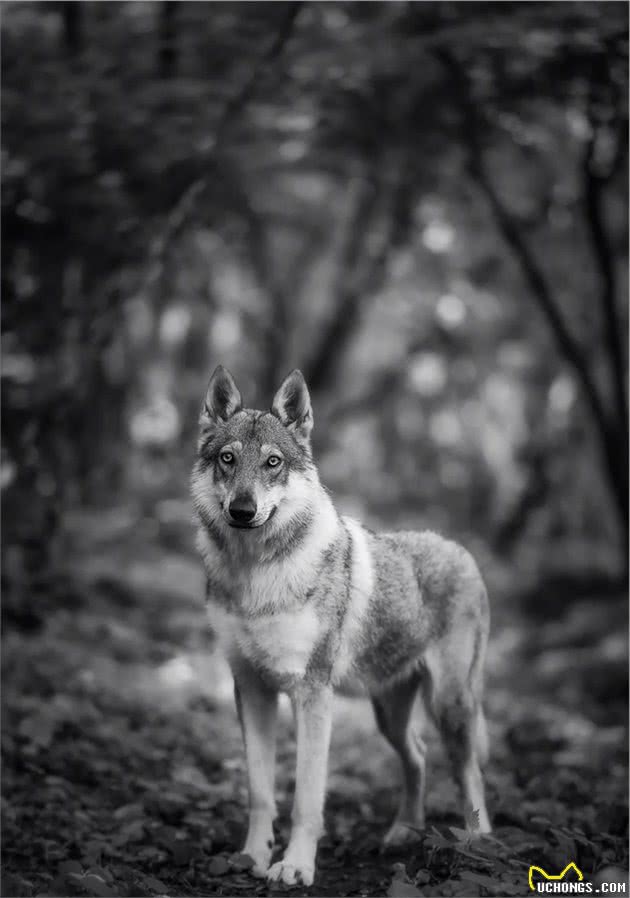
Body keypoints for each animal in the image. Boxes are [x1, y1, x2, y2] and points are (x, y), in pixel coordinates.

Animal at [193, 364, 494, 880]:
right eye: (228, 459)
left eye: (272, 463)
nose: (242, 511)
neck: (257, 576)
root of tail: (460, 549)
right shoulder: (251, 689)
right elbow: (260, 791)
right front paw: (253, 856)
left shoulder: (312, 694)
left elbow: (306, 798)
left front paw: (295, 867)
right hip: (389, 713)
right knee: (418, 756)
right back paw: (403, 833)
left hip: (450, 705)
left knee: (468, 771)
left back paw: (478, 843)